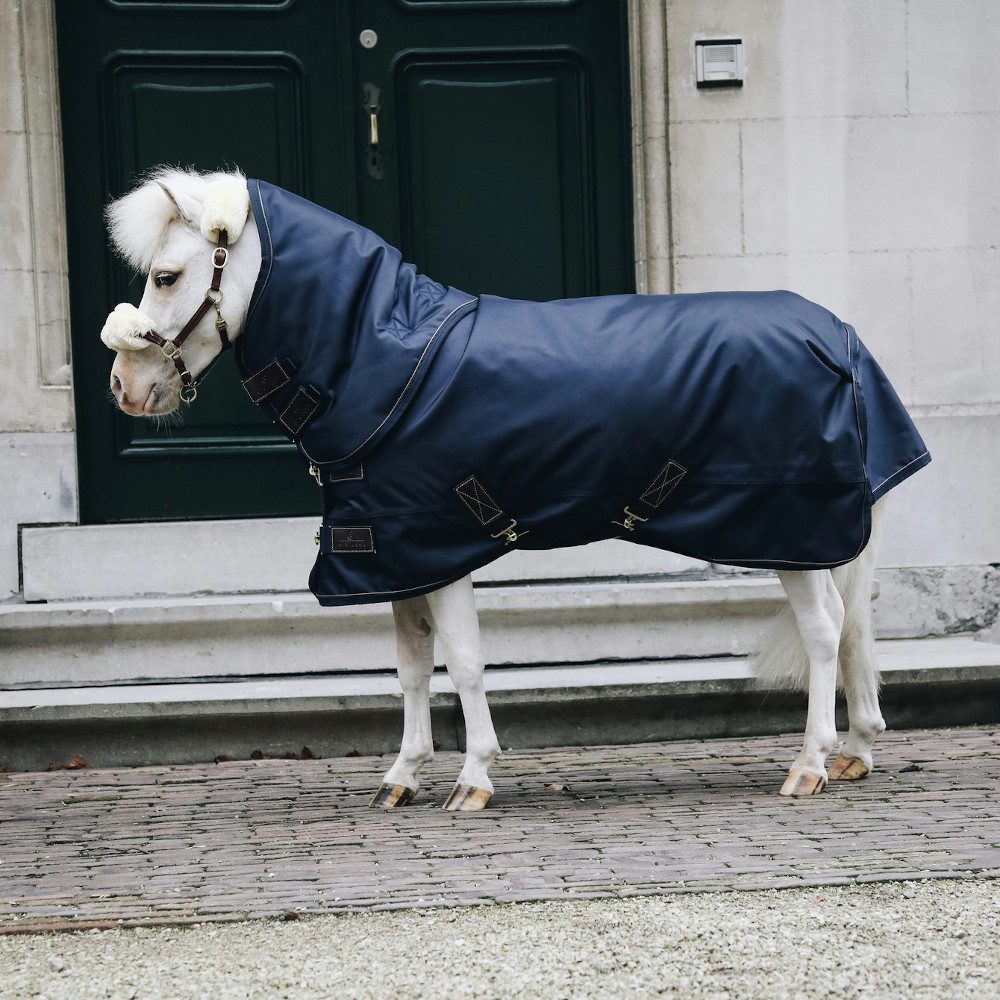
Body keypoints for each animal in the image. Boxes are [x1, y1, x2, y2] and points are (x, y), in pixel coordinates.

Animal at [99, 167, 925, 811]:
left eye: (167, 276)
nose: (123, 388)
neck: (385, 362)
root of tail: (842, 338)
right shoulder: (398, 556)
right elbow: (410, 668)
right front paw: (401, 776)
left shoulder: (441, 548)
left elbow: (463, 661)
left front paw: (473, 778)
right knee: (854, 626)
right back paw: (856, 752)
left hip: (795, 531)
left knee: (824, 632)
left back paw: (810, 764)